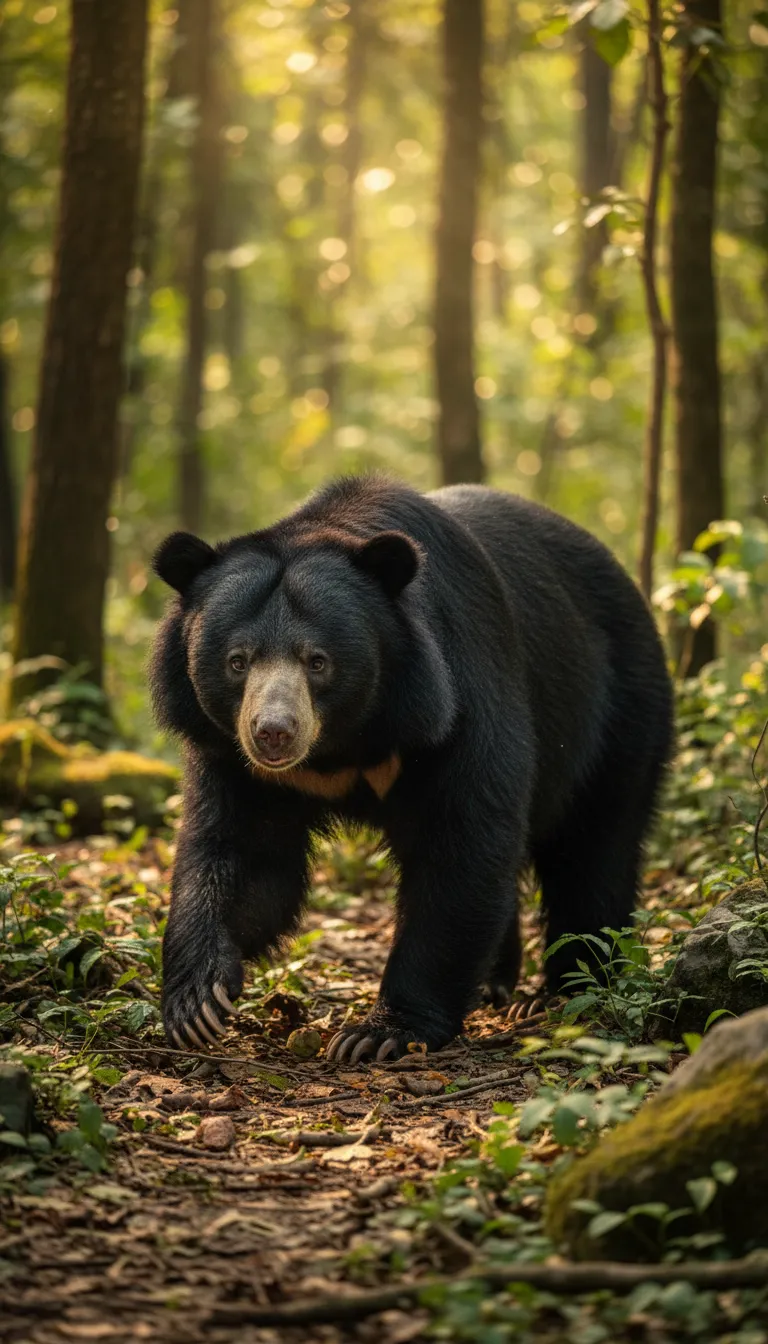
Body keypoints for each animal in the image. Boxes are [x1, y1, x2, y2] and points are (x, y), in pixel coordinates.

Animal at [150, 475, 674, 1063]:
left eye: (318, 661)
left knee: (594, 847)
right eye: (238, 661)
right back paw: (497, 985)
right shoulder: (235, 758)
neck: (345, 743)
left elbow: (462, 846)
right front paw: (197, 1003)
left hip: (618, 709)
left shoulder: (457, 699)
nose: (273, 733)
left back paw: (566, 989)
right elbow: (244, 855)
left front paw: (378, 1033)